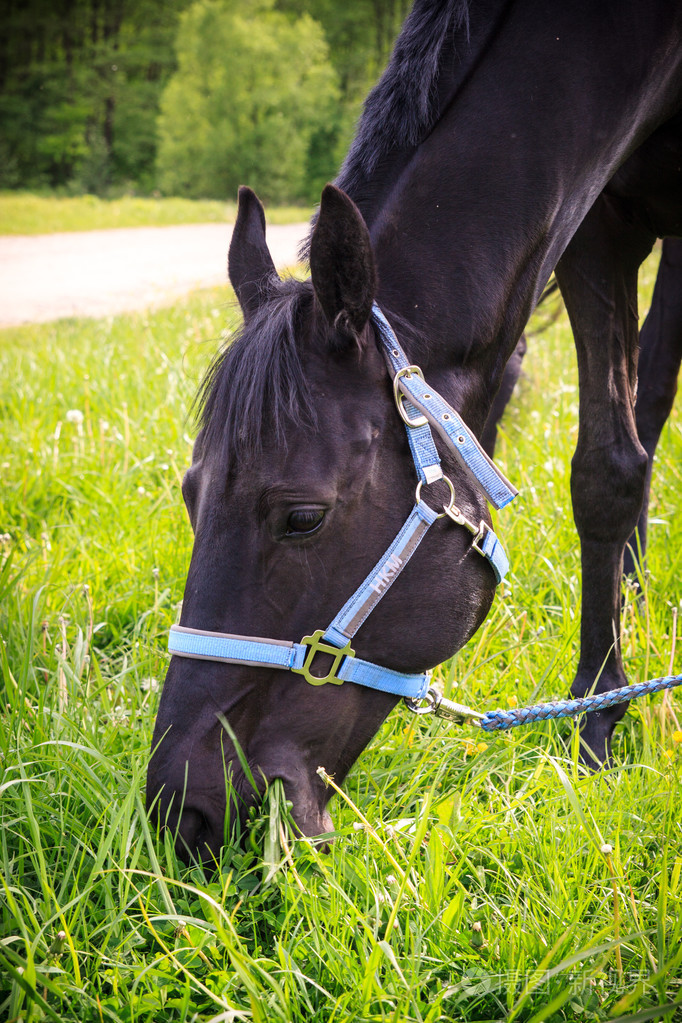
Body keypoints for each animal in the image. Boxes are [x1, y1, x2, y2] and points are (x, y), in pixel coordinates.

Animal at [147, 0, 682, 863]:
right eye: (192, 496)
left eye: (302, 516)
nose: (180, 807)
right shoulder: (599, 224)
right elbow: (613, 462)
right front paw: (613, 683)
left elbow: (609, 468)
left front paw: (598, 721)